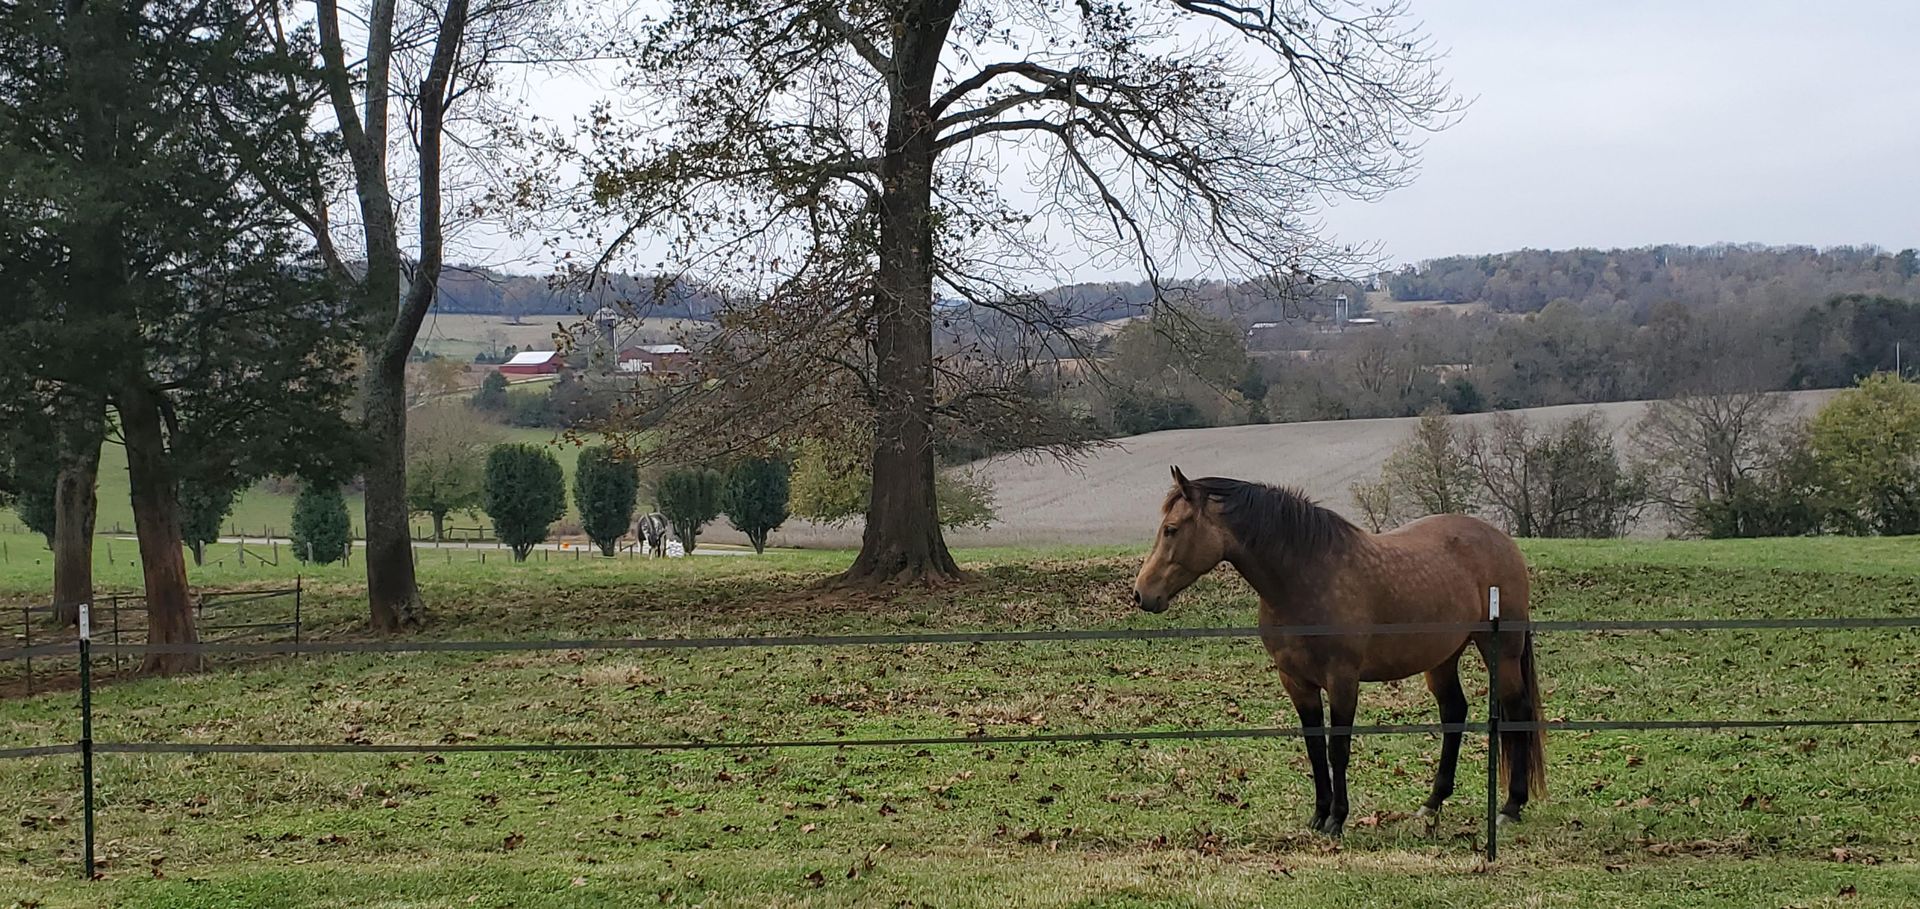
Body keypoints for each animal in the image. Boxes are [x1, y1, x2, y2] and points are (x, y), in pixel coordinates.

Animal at [1131, 467, 1545, 837]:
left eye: (1171, 529)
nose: (1141, 593)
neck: (1305, 576)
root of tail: (1502, 541)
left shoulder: (1342, 680)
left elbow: (1337, 749)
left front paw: (1337, 819)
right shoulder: (1296, 682)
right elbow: (1315, 748)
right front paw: (1319, 814)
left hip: (1502, 651)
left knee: (1517, 710)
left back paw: (1511, 806)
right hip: (1443, 658)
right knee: (1454, 712)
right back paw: (1432, 802)